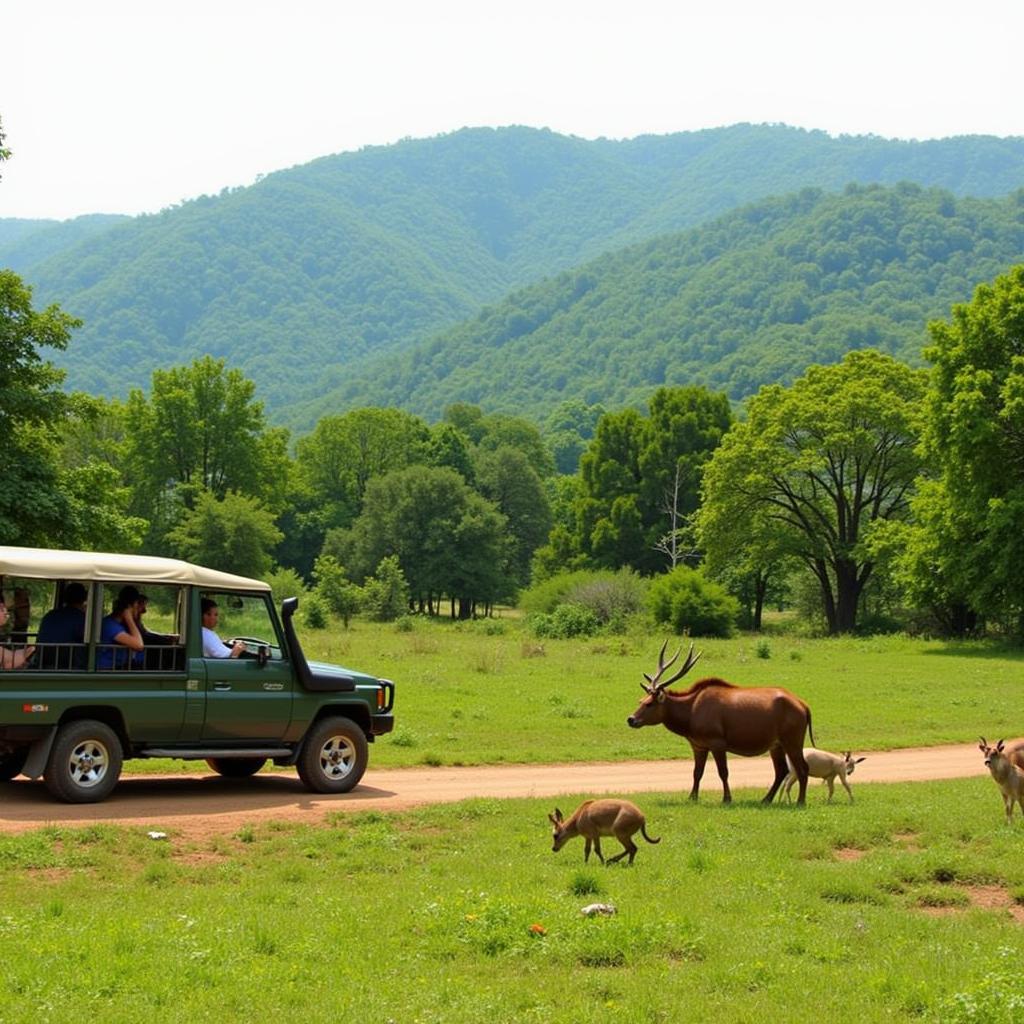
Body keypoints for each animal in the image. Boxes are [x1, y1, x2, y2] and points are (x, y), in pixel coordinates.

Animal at [622, 643, 815, 802]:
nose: (631, 719)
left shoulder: (717, 741)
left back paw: (800, 801)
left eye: (649, 703)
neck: (689, 717)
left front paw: (727, 798)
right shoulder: (698, 745)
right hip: (776, 744)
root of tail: (804, 706)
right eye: (640, 700)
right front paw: (692, 797)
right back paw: (766, 799)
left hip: (792, 739)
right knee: (781, 770)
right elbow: (697, 772)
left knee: (803, 768)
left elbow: (723, 772)